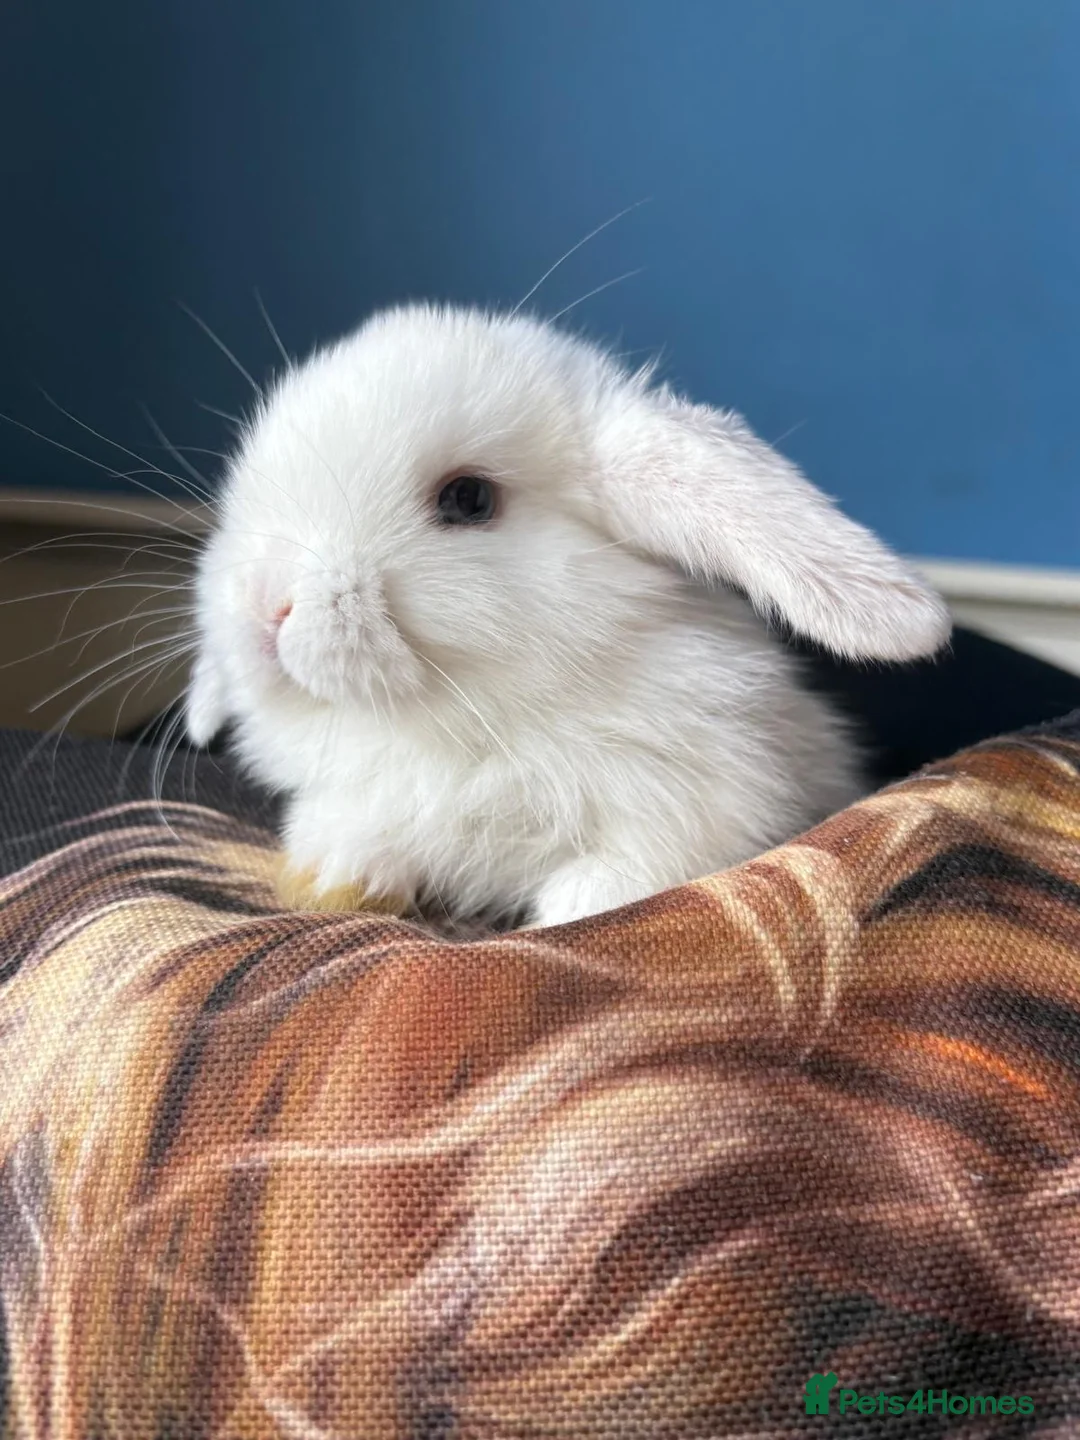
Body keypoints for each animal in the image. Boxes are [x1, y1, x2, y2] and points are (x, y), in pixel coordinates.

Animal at [185, 303, 950, 928]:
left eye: (468, 499)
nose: (265, 602)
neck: (471, 724)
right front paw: (331, 878)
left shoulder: (711, 804)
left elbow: (628, 877)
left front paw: (571, 913)